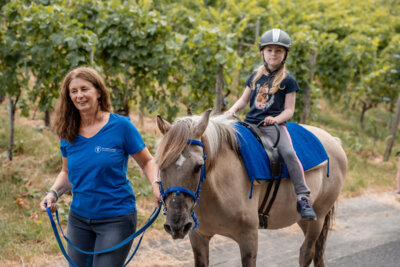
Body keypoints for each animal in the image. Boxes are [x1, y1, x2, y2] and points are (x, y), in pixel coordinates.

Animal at [155, 110, 348, 266]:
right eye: (160, 165)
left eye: (198, 166)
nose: (176, 225)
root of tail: (334, 141)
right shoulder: (198, 237)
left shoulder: (249, 238)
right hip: (303, 220)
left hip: (318, 217)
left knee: (306, 253)